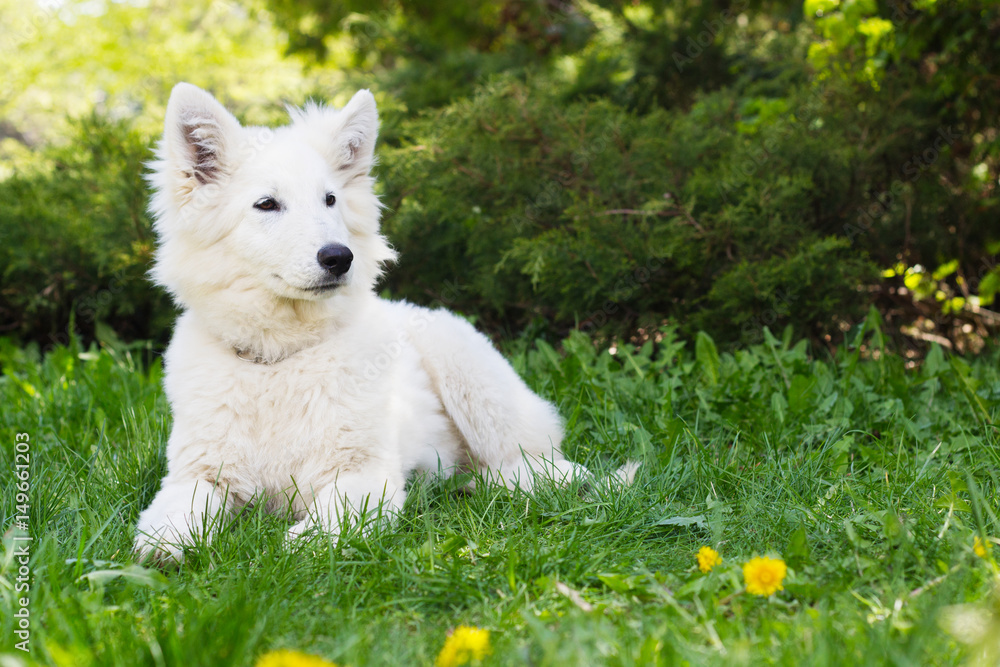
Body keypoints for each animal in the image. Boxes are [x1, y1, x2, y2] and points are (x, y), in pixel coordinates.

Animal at [134, 83, 584, 564]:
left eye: (330, 199)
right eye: (266, 204)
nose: (339, 257)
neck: (280, 358)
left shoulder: (363, 475)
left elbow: (319, 533)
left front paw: (295, 547)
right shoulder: (197, 474)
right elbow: (169, 517)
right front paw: (166, 545)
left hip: (480, 393)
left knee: (538, 460)